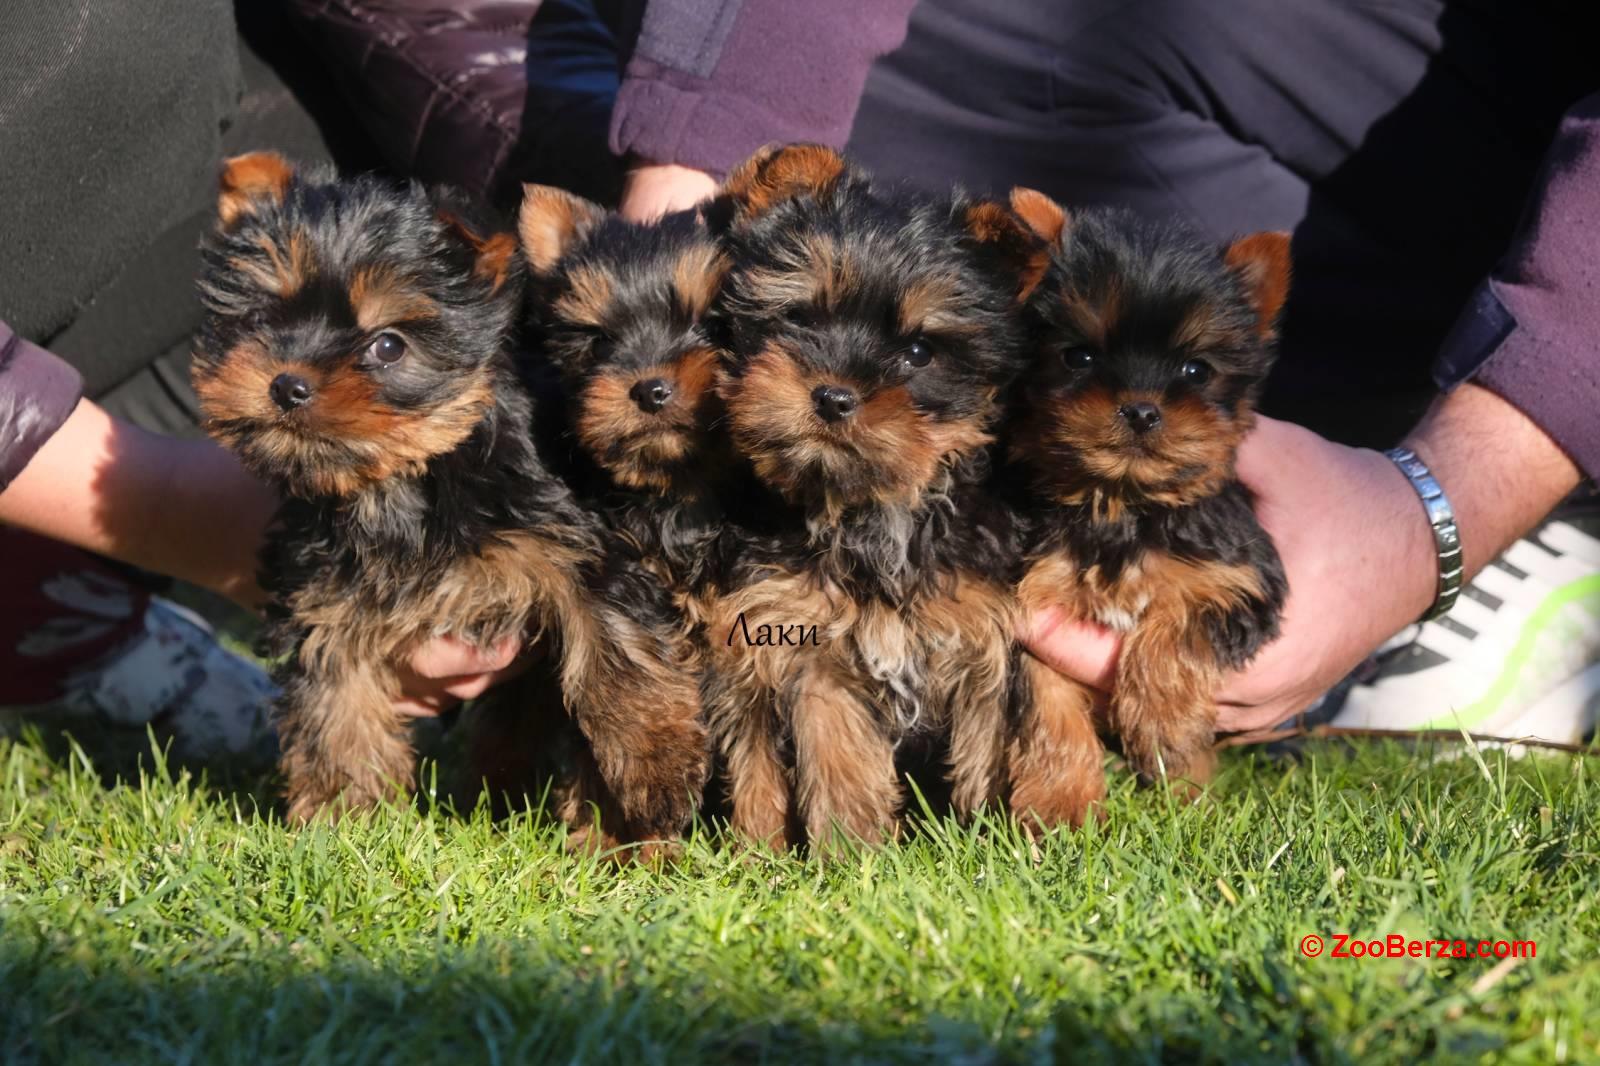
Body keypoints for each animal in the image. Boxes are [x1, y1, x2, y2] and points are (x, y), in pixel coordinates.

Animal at [193, 153, 707, 845]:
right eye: (262, 319)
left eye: (388, 345)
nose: (287, 385)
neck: (401, 483)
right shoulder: (323, 595)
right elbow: (333, 701)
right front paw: (341, 820)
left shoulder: (583, 547)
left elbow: (618, 646)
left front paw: (655, 765)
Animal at [704, 145, 1049, 851]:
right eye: (801, 318)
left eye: (919, 351)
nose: (834, 396)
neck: (870, 508)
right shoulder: (807, 641)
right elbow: (838, 750)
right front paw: (852, 853)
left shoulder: (982, 635)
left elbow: (984, 745)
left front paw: (986, 844)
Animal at [1004, 191, 1292, 825]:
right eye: (1078, 357)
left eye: (1195, 370)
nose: (1140, 409)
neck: (1121, 505)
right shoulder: (1032, 606)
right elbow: (1046, 699)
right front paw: (1060, 805)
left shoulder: (1238, 582)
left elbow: (1179, 624)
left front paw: (1163, 724)